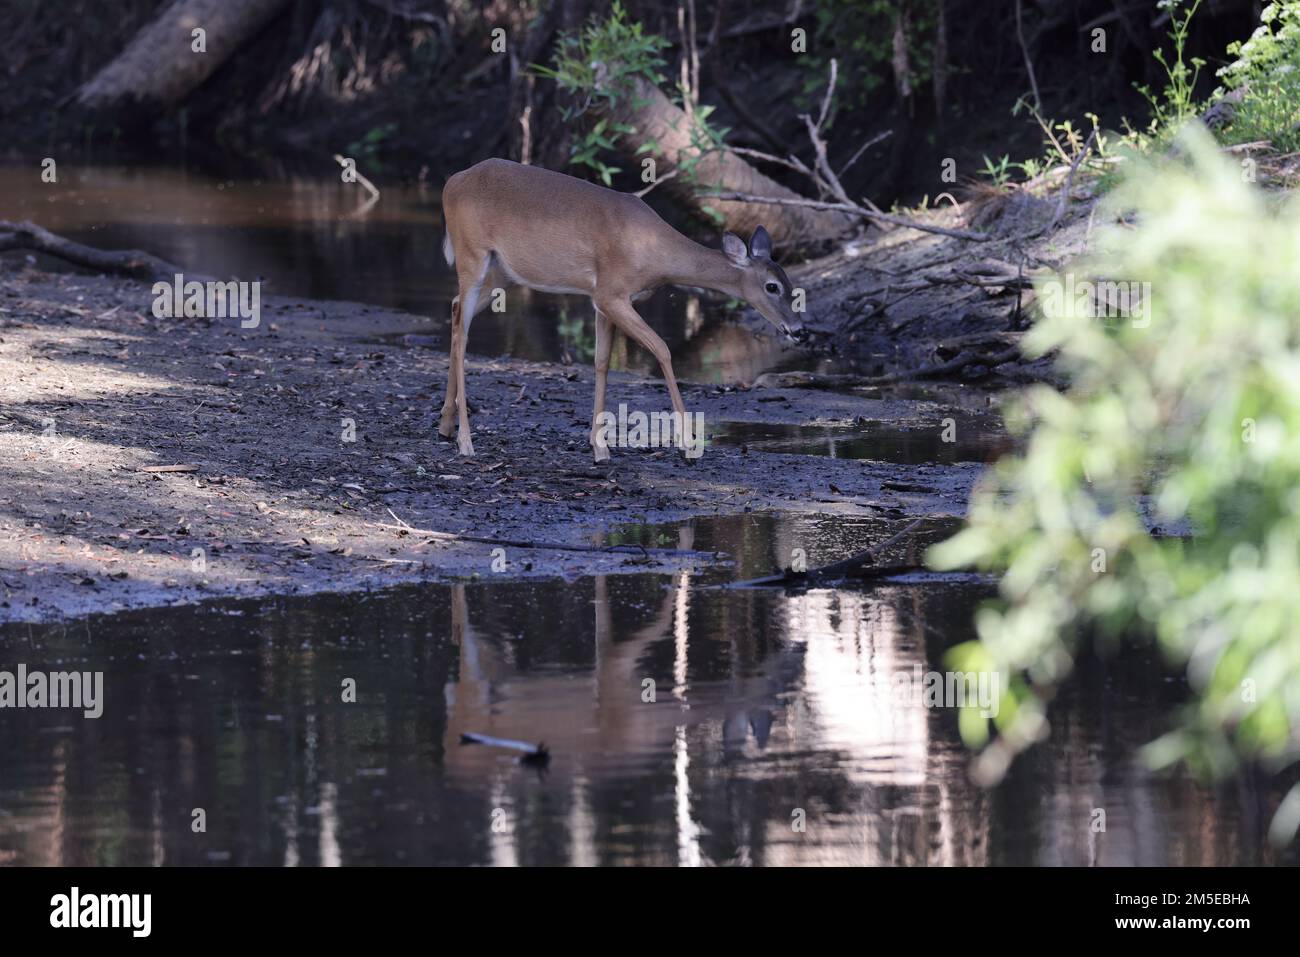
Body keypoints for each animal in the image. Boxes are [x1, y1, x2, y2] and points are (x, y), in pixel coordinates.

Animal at [436, 157, 800, 462]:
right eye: (772, 286)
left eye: (788, 279)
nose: (798, 329)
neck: (654, 252)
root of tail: (452, 181)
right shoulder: (612, 293)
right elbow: (662, 348)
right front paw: (687, 445)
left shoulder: (601, 299)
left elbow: (601, 363)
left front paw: (599, 446)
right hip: (472, 255)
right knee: (463, 333)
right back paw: (466, 441)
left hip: (503, 272)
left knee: (455, 310)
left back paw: (445, 426)